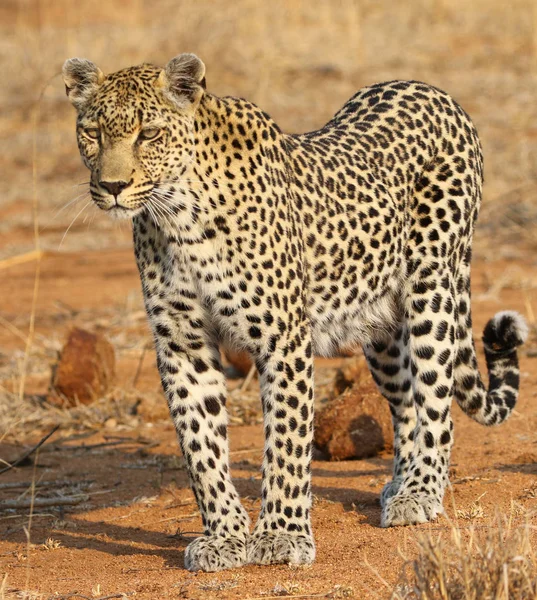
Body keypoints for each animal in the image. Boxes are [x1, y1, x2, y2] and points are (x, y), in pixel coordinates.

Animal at [63, 55, 528, 572]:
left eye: (149, 133)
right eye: (92, 132)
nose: (112, 186)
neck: (178, 217)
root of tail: (432, 90)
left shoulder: (282, 339)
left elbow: (286, 442)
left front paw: (281, 535)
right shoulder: (182, 343)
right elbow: (200, 444)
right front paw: (224, 537)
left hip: (433, 287)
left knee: (435, 399)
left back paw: (420, 492)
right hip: (381, 331)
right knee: (405, 400)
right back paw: (399, 483)